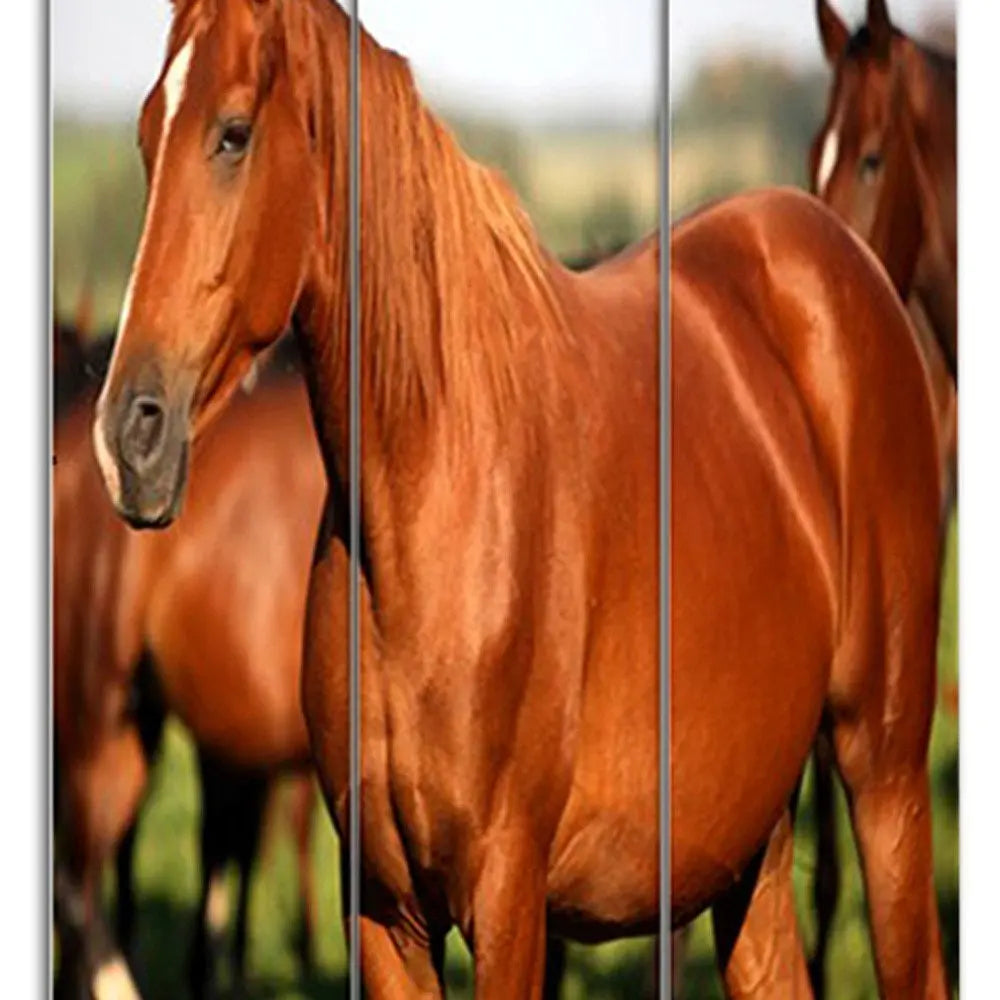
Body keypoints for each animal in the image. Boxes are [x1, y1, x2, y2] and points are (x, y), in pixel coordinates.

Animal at [91, 1, 945, 996]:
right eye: (145, 136)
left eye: (232, 133)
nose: (128, 437)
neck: (429, 500)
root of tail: (840, 261)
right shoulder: (382, 913)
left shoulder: (507, 899)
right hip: (750, 845)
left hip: (884, 775)